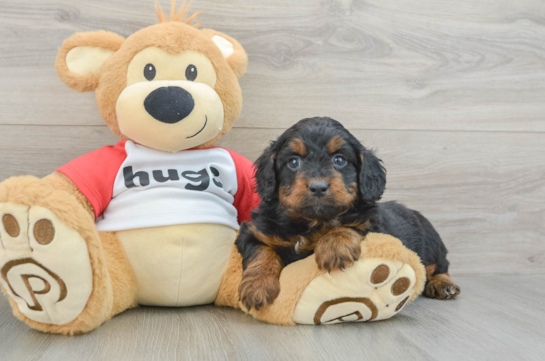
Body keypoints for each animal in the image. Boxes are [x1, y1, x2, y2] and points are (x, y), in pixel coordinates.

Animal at [235, 116, 460, 310]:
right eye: (293, 162)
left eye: (340, 160)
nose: (318, 187)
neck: (311, 222)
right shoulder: (254, 231)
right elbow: (261, 251)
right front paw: (257, 287)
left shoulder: (372, 224)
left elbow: (349, 225)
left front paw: (334, 247)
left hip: (432, 245)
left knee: (439, 266)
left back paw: (443, 285)